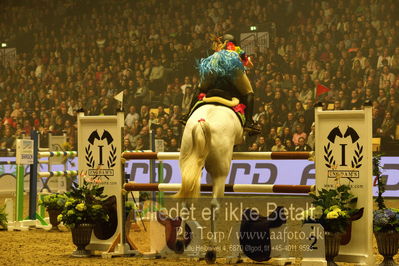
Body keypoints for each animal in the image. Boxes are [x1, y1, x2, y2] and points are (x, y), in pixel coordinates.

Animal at [174, 103, 244, 262]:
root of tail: (202, 123)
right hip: (220, 174)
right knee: (214, 205)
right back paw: (211, 250)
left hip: (189, 163)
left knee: (186, 201)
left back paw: (180, 241)